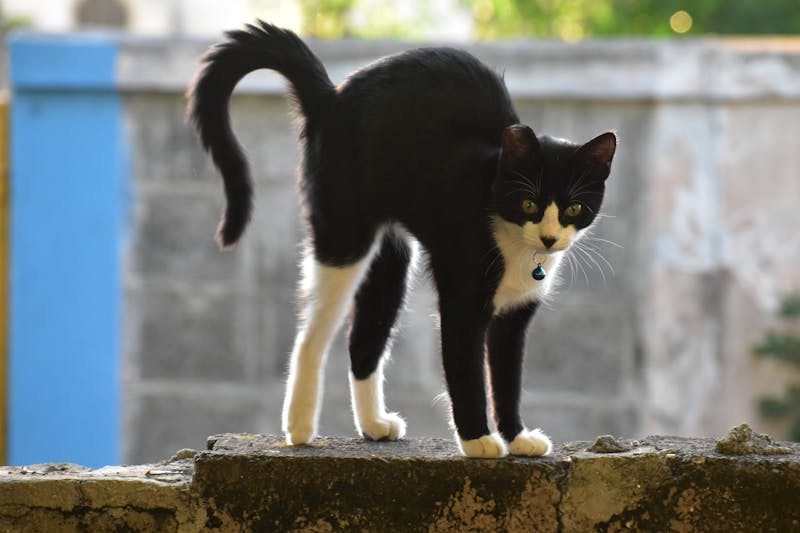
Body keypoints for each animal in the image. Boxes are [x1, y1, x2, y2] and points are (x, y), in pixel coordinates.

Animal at [189, 20, 620, 458]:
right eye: (529, 203)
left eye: (573, 209)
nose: (549, 239)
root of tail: (332, 96)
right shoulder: (462, 300)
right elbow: (465, 369)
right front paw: (478, 440)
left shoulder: (515, 316)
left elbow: (507, 378)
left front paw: (517, 438)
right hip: (343, 236)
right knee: (311, 333)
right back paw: (299, 426)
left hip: (391, 259)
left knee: (364, 338)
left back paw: (374, 425)